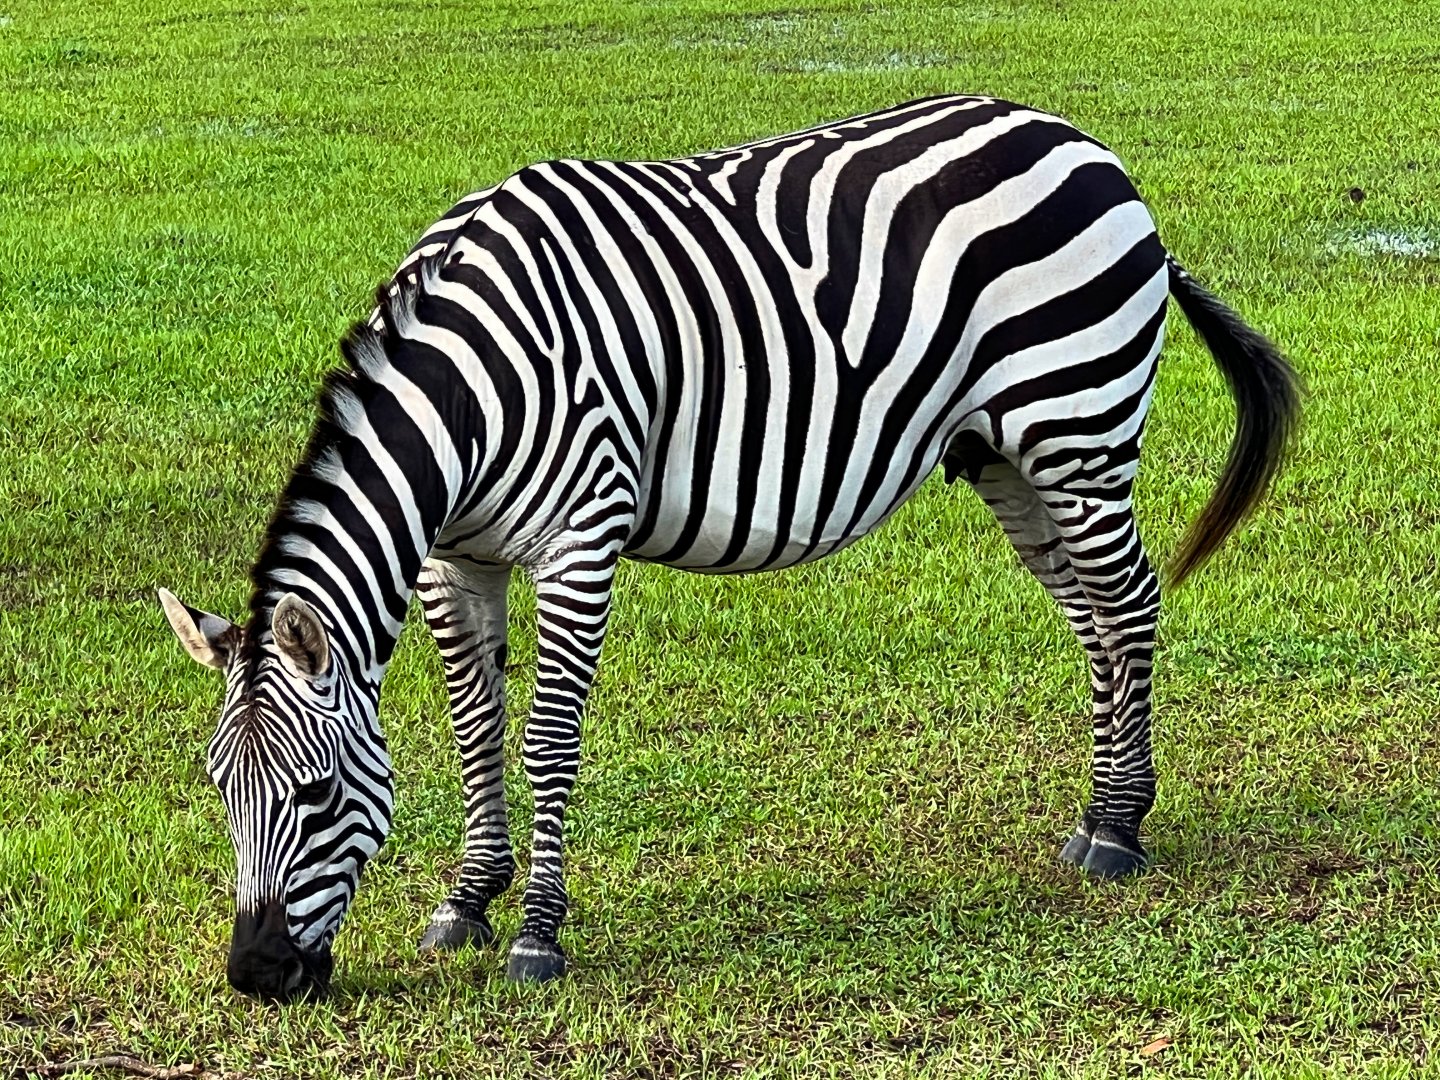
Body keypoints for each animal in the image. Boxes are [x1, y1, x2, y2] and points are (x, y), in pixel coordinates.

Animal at [158, 94, 1299, 999]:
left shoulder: (582, 535)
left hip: (1080, 427)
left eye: (315, 797)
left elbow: (547, 740)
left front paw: (536, 937)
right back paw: (1098, 817)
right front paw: (467, 902)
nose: (256, 977)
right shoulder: (454, 556)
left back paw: (1122, 831)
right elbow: (476, 732)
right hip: (1006, 455)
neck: (467, 395)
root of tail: (1083, 143)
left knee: (1131, 600)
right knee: (1092, 615)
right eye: (218, 791)